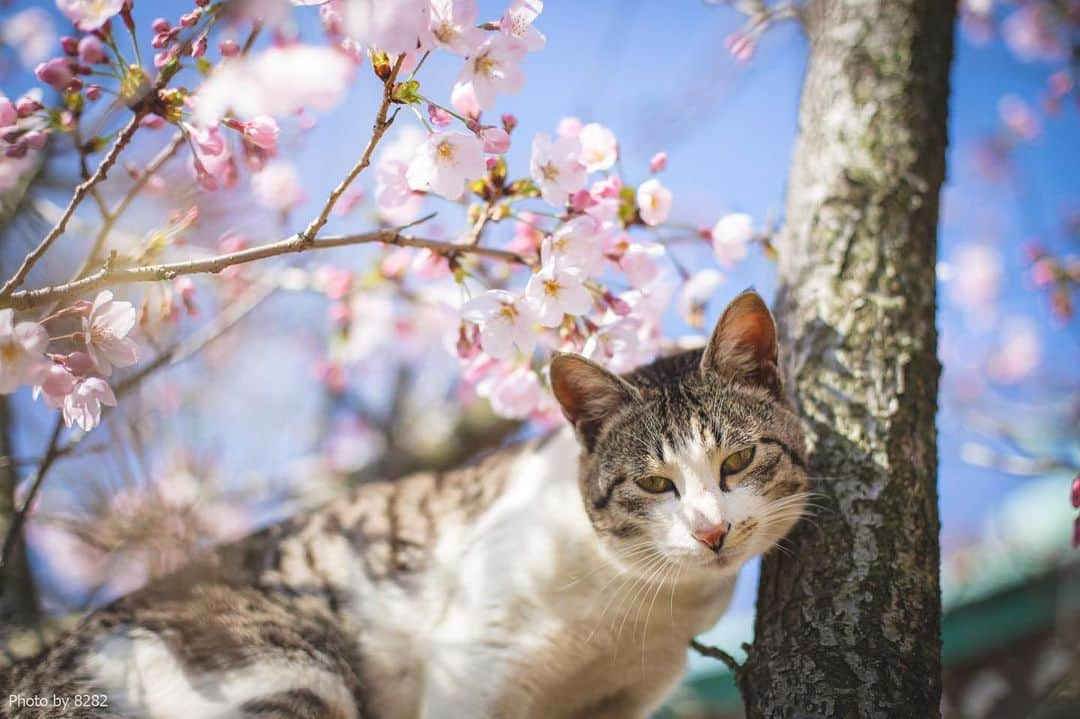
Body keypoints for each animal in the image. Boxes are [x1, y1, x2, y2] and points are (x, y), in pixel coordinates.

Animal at [2, 289, 812, 712]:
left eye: (739, 460)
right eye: (653, 483)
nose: (711, 531)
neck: (642, 608)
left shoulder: (619, 700)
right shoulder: (471, 667)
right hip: (286, 668)